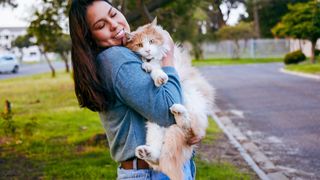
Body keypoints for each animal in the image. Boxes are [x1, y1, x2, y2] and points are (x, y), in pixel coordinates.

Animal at [125, 17, 215, 180]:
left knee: (189, 128)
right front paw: (152, 70)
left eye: (151, 41)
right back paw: (145, 152)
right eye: (140, 45)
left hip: (193, 105)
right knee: (158, 159)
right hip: (155, 126)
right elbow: (153, 68)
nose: (147, 50)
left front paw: (156, 70)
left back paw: (179, 112)